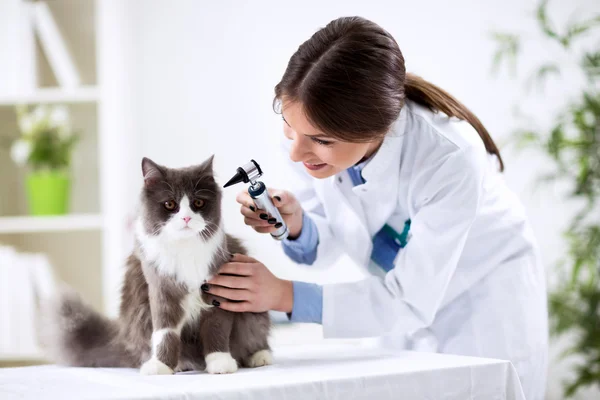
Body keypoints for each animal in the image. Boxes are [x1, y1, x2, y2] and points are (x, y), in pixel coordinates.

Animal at [44, 155, 272, 376]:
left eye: (198, 202)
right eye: (170, 205)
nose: (186, 217)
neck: (185, 248)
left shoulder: (220, 293)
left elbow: (216, 329)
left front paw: (220, 362)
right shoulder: (161, 292)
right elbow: (165, 333)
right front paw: (161, 366)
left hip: (253, 318)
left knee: (253, 337)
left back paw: (258, 356)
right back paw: (180, 364)